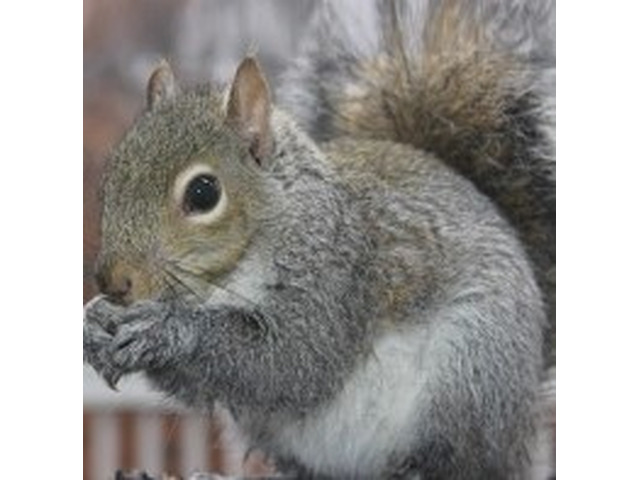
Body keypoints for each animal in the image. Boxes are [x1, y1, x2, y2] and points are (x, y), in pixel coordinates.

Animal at [84, 1, 555, 479]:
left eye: (203, 193)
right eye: (111, 178)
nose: (114, 282)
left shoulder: (338, 276)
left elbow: (295, 360)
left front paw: (167, 329)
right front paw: (95, 322)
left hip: (472, 372)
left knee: (461, 460)